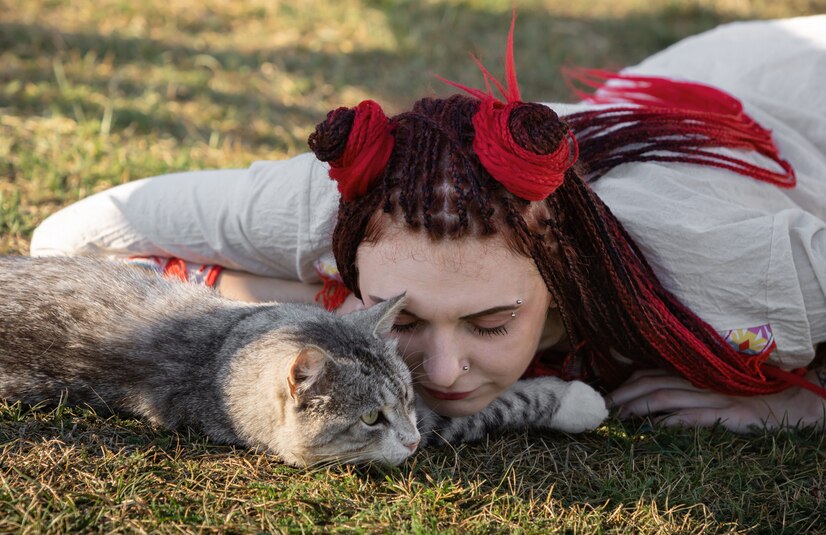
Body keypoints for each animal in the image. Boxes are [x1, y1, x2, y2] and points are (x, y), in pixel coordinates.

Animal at [0, 258, 604, 466]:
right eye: (370, 418)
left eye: (407, 397)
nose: (409, 442)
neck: (221, 351)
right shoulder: (441, 423)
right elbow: (495, 406)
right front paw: (579, 401)